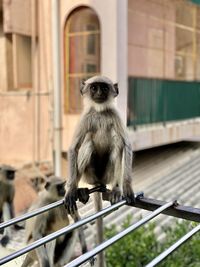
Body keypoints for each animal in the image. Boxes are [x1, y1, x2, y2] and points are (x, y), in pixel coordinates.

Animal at [65, 75, 135, 214]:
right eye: (93, 88)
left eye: (104, 88)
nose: (99, 93)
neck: (100, 112)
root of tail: (98, 182)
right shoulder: (86, 117)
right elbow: (73, 148)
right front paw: (70, 190)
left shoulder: (115, 114)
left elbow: (127, 144)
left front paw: (127, 187)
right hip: (89, 176)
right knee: (88, 144)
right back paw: (79, 190)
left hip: (107, 176)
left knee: (117, 143)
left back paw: (116, 189)